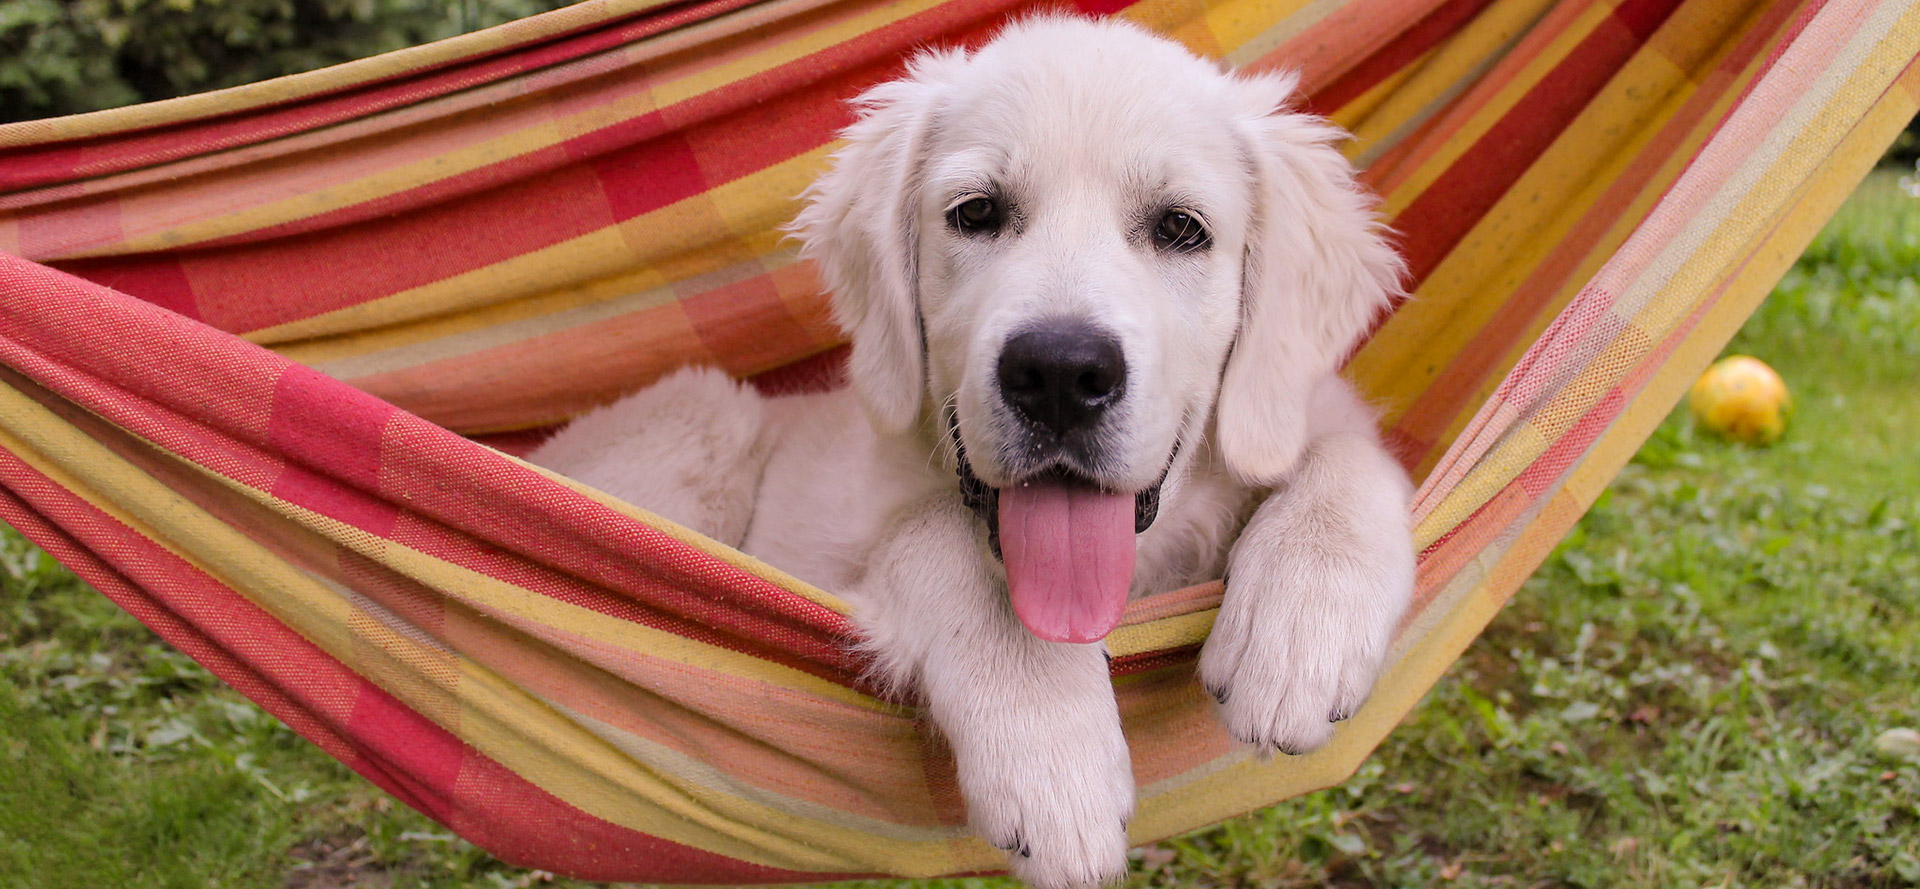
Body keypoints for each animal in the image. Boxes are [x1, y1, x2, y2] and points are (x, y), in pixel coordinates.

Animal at [533, 17, 1420, 887]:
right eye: (977, 213)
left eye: (1179, 227)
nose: (1060, 374)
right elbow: (940, 536)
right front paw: (1054, 759)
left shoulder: (1301, 410)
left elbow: (1351, 457)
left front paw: (1298, 642)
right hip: (705, 418)